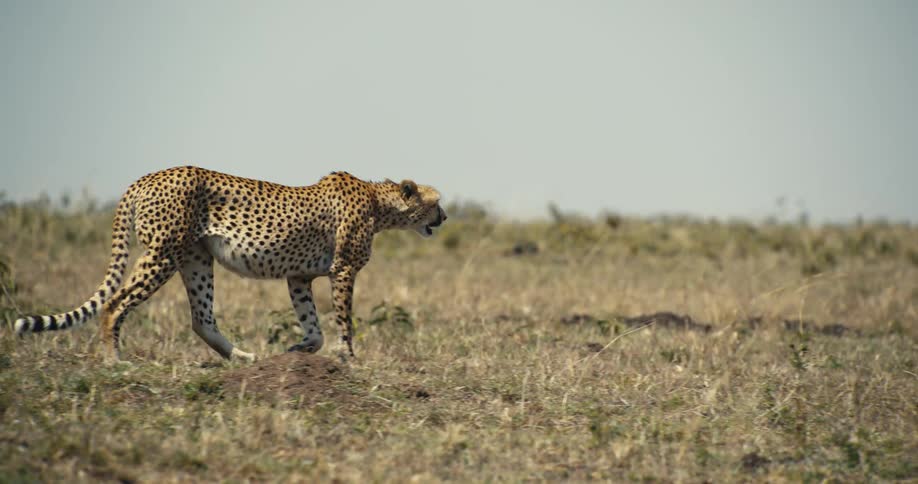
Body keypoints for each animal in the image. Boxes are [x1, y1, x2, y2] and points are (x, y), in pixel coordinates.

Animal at [14, 166, 447, 363]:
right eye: (436, 201)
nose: (443, 217)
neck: (379, 202)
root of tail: (148, 176)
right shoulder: (341, 271)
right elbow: (344, 319)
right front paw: (349, 359)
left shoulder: (298, 276)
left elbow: (313, 324)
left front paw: (300, 349)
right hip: (162, 254)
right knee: (114, 303)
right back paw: (114, 360)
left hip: (196, 259)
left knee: (201, 318)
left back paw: (242, 358)